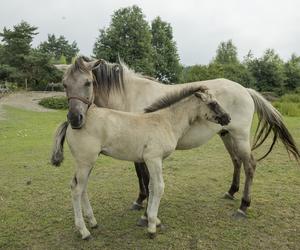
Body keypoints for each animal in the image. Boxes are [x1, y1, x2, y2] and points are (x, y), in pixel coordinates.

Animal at [51, 86, 231, 240]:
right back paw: (84, 231)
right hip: (85, 162)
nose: (227, 118)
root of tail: (72, 123)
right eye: (212, 103)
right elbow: (159, 187)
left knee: (82, 188)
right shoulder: (153, 159)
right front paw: (151, 226)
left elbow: (151, 186)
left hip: (88, 162)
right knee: (76, 189)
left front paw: (154, 220)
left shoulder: (154, 161)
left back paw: (93, 222)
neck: (166, 121)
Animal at [52, 57, 298, 224]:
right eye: (64, 84)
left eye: (88, 83)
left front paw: (146, 213)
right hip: (226, 135)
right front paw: (140, 201)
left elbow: (147, 177)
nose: (75, 119)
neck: (130, 95)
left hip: (240, 137)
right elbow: (140, 175)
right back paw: (231, 192)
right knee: (237, 162)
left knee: (250, 165)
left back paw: (243, 206)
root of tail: (245, 89)